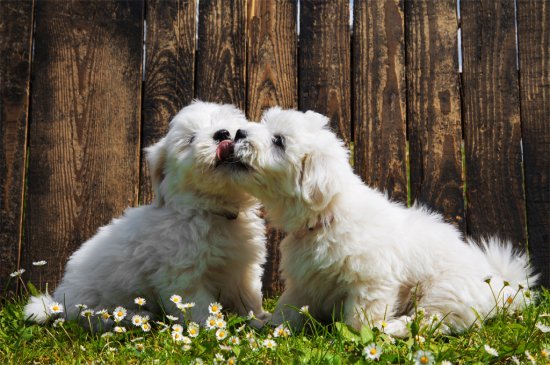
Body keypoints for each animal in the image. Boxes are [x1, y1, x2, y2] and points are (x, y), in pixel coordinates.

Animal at [23, 101, 270, 328]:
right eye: (190, 139)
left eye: (232, 129)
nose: (223, 134)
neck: (209, 211)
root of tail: (59, 302)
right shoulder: (182, 275)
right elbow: (199, 306)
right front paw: (211, 329)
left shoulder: (242, 268)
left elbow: (248, 295)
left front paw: (259, 320)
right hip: (90, 302)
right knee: (96, 316)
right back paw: (136, 317)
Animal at [227, 107, 540, 336]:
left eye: (278, 141)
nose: (239, 131)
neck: (328, 215)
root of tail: (501, 286)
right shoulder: (304, 280)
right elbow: (289, 307)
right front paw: (269, 325)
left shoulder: (371, 280)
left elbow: (360, 317)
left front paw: (356, 337)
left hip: (445, 290)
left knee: (432, 320)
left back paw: (393, 328)